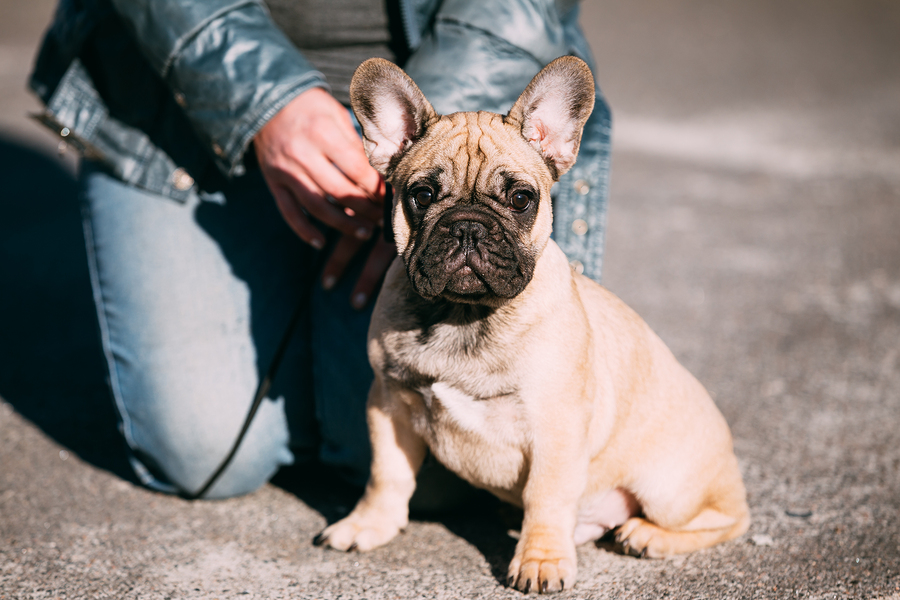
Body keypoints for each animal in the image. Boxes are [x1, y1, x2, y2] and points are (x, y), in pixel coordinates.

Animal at [318, 57, 752, 596]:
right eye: (421, 195)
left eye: (521, 198)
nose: (467, 225)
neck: (464, 315)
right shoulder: (388, 404)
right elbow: (386, 475)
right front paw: (368, 525)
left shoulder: (556, 426)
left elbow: (546, 498)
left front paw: (541, 560)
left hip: (670, 486)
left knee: (730, 518)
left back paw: (647, 536)